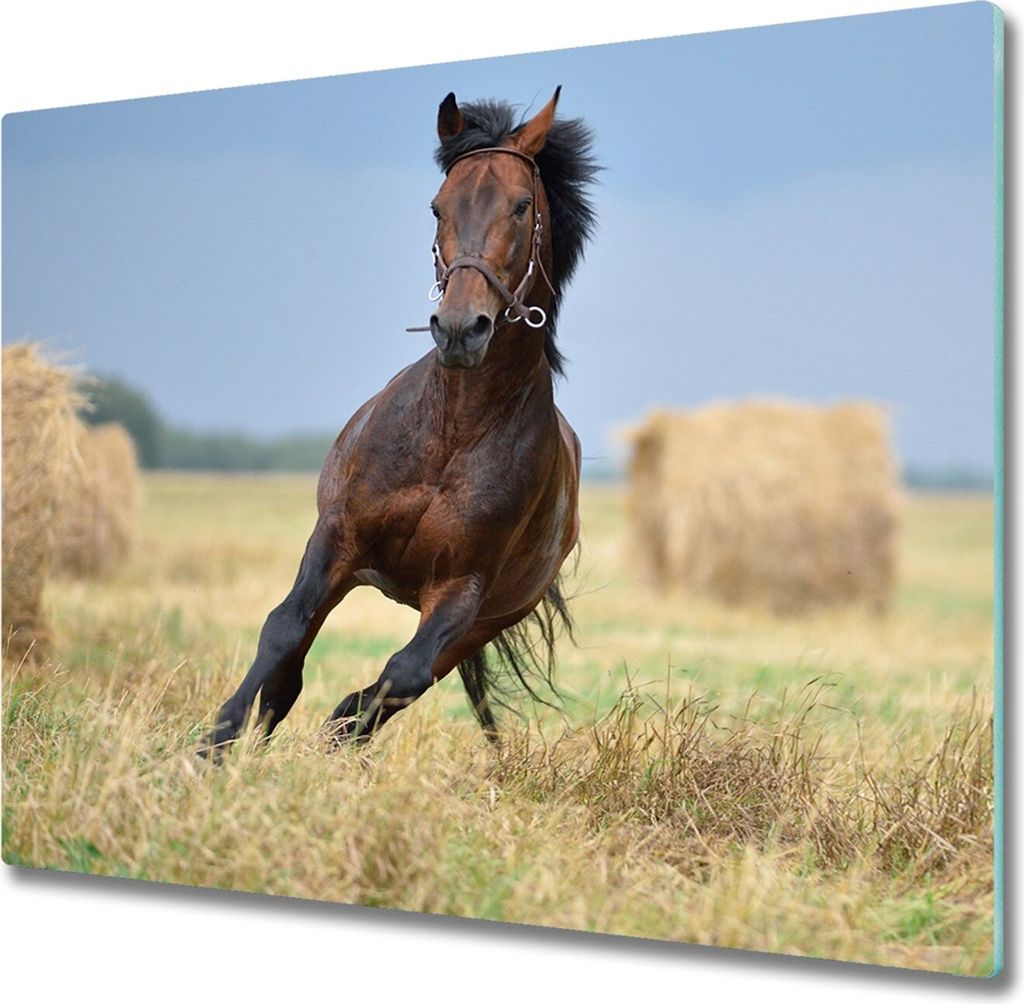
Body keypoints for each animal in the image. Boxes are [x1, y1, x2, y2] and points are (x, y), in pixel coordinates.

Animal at [199, 87, 598, 753]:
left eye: (522, 206)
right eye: (438, 207)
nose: (461, 329)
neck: (454, 430)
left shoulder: (462, 589)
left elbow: (399, 675)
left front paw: (325, 738)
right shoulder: (337, 538)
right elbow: (283, 631)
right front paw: (214, 744)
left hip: (488, 620)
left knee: (402, 683)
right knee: (291, 677)